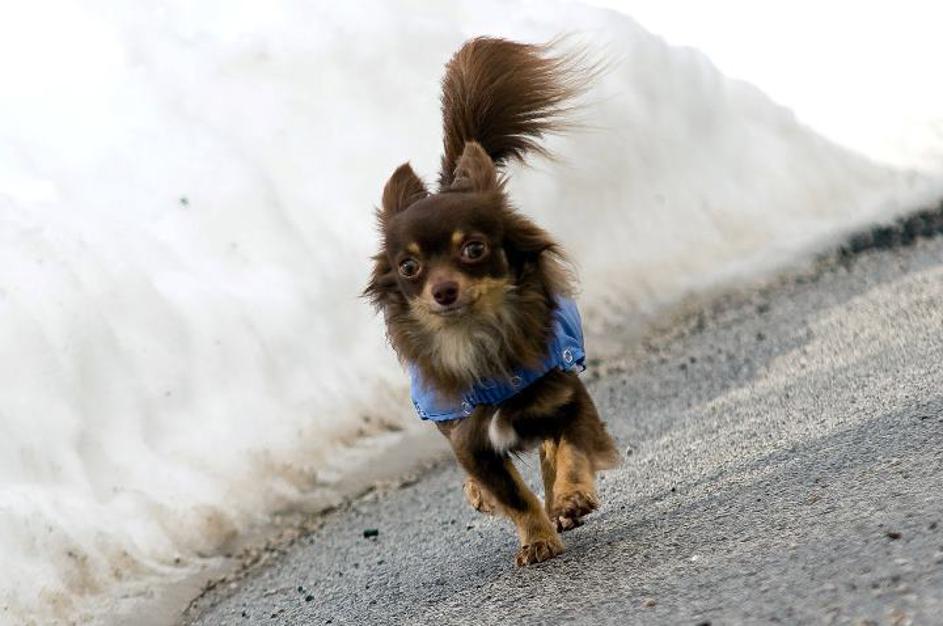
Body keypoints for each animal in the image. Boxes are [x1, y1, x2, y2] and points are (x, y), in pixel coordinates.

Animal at [365, 37, 619, 566]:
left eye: (474, 249)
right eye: (409, 267)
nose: (443, 291)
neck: (478, 339)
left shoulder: (566, 397)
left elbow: (571, 450)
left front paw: (571, 496)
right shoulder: (470, 441)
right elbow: (512, 494)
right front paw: (537, 537)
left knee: (547, 449)